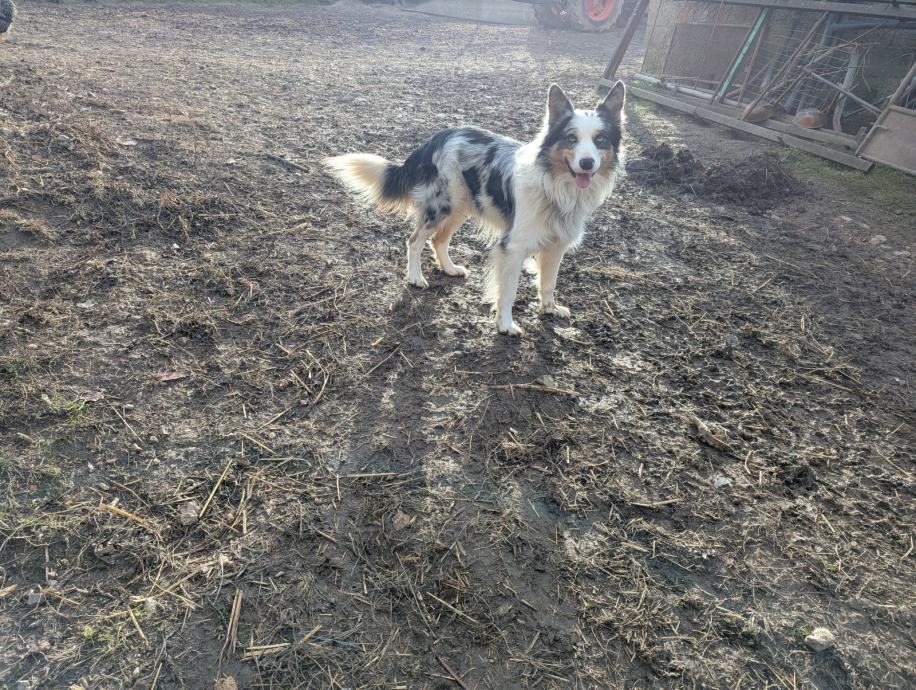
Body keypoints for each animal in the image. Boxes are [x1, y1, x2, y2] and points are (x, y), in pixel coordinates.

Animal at [326, 80, 628, 334]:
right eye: (571, 138)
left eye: (600, 139)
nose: (587, 163)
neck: (556, 186)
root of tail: (437, 138)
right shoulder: (513, 247)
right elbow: (508, 291)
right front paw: (505, 325)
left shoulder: (556, 246)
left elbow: (548, 283)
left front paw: (549, 308)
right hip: (441, 206)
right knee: (414, 240)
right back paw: (415, 277)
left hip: (461, 207)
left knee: (438, 241)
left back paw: (450, 269)